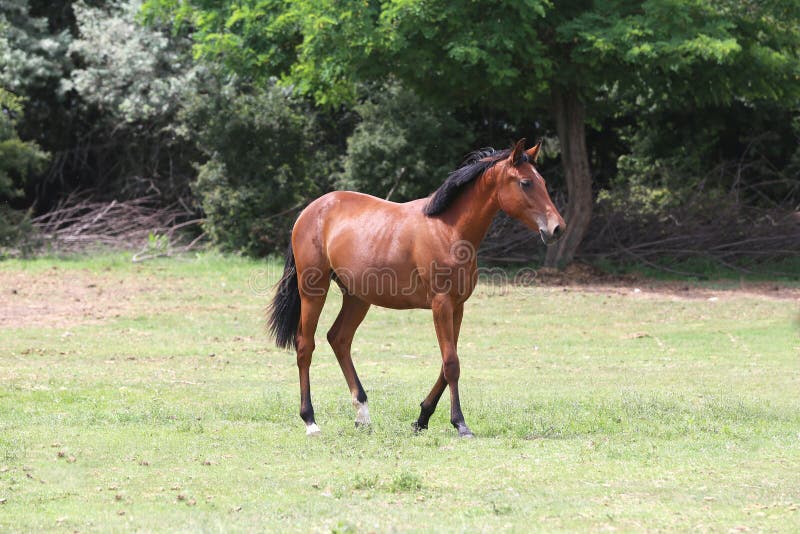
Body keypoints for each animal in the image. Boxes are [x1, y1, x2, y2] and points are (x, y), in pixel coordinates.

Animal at [270, 139, 568, 440]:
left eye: (542, 181)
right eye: (526, 183)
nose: (557, 228)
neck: (448, 230)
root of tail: (309, 211)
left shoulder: (457, 307)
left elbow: (446, 364)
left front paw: (422, 418)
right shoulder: (441, 305)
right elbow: (451, 364)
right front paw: (460, 424)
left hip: (357, 297)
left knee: (339, 339)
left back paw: (363, 415)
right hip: (313, 291)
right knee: (305, 346)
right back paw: (310, 421)